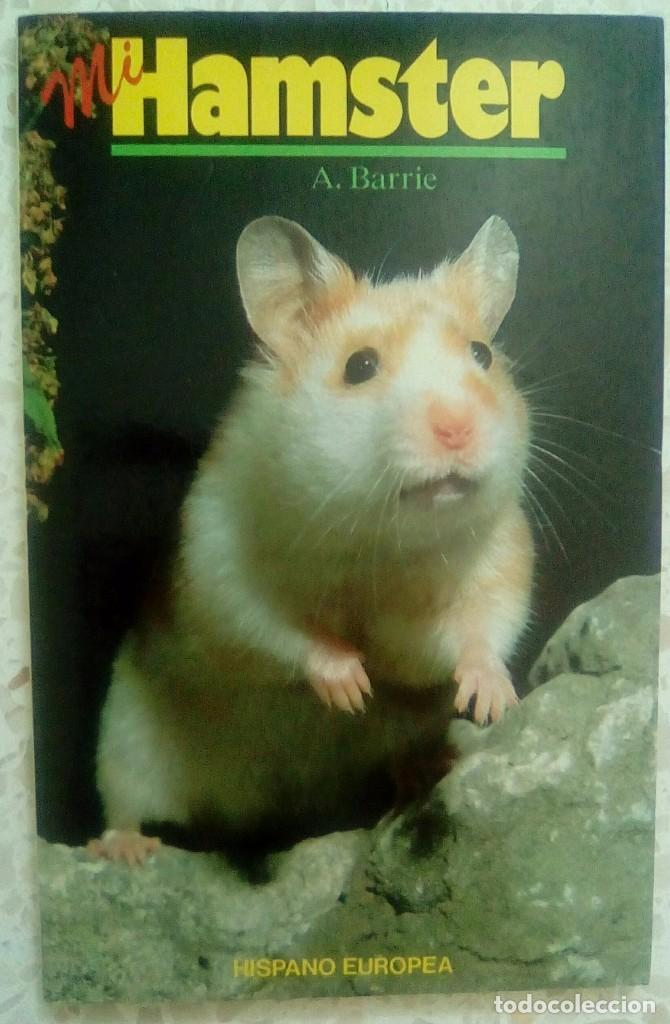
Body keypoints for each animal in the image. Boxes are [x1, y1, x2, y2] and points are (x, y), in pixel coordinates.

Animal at [88, 214, 533, 865]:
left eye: (482, 354)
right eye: (360, 366)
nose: (458, 428)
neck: (376, 537)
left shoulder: (499, 557)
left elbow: (480, 628)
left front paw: (492, 701)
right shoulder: (220, 564)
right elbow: (278, 628)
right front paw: (350, 687)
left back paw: (424, 770)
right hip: (126, 739)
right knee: (124, 801)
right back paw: (127, 850)